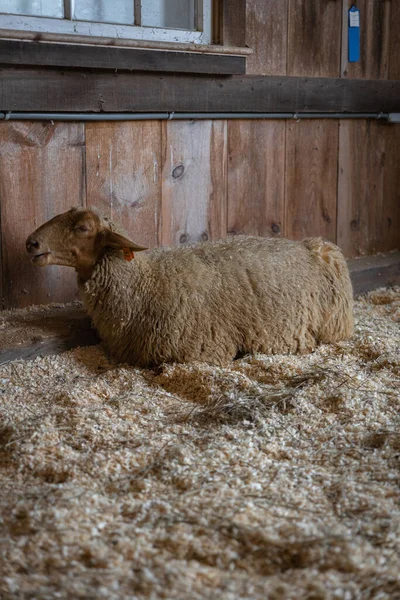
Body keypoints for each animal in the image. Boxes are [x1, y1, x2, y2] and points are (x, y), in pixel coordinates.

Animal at [26, 209, 354, 368]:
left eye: (82, 228)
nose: (31, 243)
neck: (143, 283)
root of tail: (310, 245)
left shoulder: (202, 351)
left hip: (334, 326)